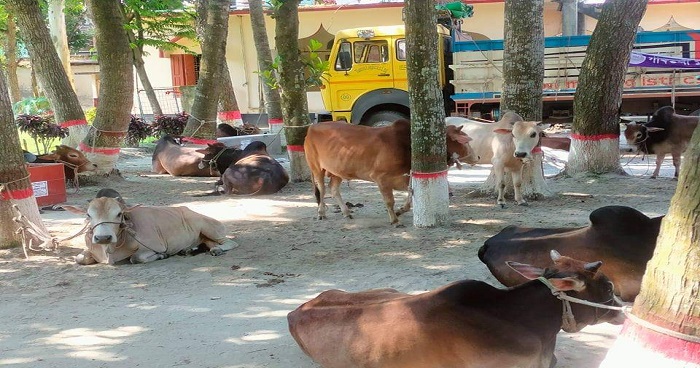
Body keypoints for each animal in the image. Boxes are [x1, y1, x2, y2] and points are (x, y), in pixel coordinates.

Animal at [63, 190, 238, 264]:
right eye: (88, 215)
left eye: (119, 214)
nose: (103, 237)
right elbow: (79, 258)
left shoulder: (155, 246)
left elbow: (136, 258)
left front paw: (161, 256)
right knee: (207, 243)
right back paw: (190, 250)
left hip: (209, 227)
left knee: (230, 242)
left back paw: (217, 249)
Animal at [304, 119, 478, 226]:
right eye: (465, 141)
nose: (477, 156)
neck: (406, 144)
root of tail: (311, 127)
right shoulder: (381, 178)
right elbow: (389, 201)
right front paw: (395, 220)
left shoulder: (407, 177)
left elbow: (409, 199)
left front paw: (400, 211)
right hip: (316, 167)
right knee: (322, 189)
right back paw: (321, 212)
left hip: (337, 171)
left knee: (334, 189)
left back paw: (346, 212)